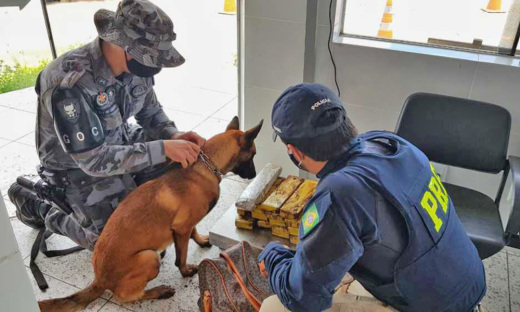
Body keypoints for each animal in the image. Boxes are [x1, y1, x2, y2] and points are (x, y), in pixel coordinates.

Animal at [39, 117, 264, 312]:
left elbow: (193, 231)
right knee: (125, 295)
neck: (205, 166)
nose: (254, 175)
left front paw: (201, 241)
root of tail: (99, 279)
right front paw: (186, 272)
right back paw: (158, 291)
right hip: (149, 257)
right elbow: (181, 257)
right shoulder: (181, 228)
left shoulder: (184, 225)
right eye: (253, 154)